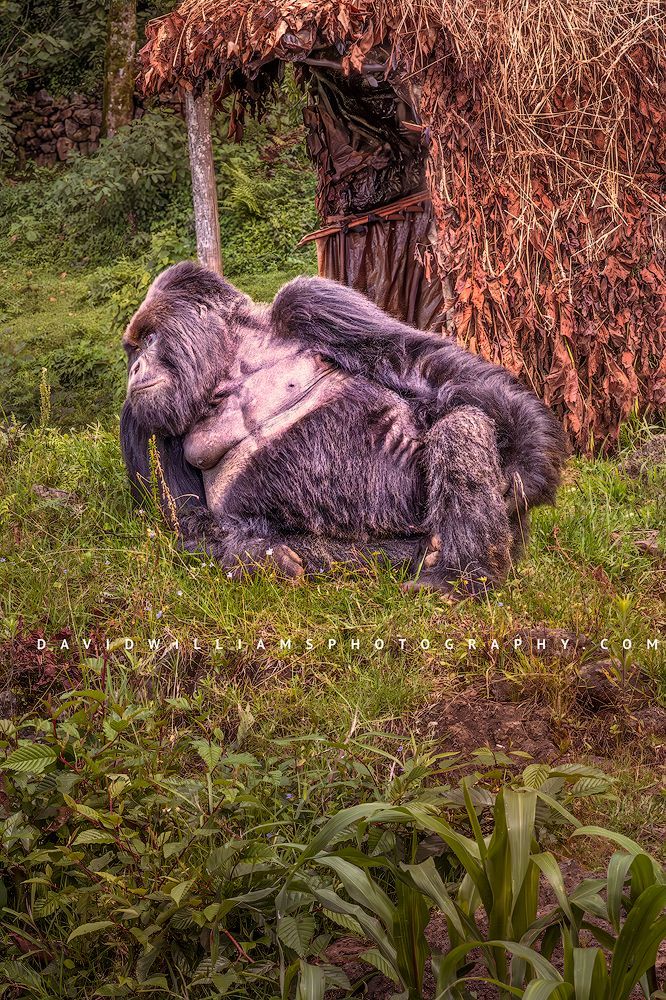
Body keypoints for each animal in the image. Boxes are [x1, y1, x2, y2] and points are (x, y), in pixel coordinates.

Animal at [121, 262, 567, 594]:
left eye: (149, 339)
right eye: (134, 348)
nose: (135, 368)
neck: (229, 362)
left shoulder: (311, 301)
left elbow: (416, 360)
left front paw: (528, 463)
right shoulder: (147, 425)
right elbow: (191, 523)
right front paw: (260, 557)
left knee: (458, 426)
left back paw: (461, 577)